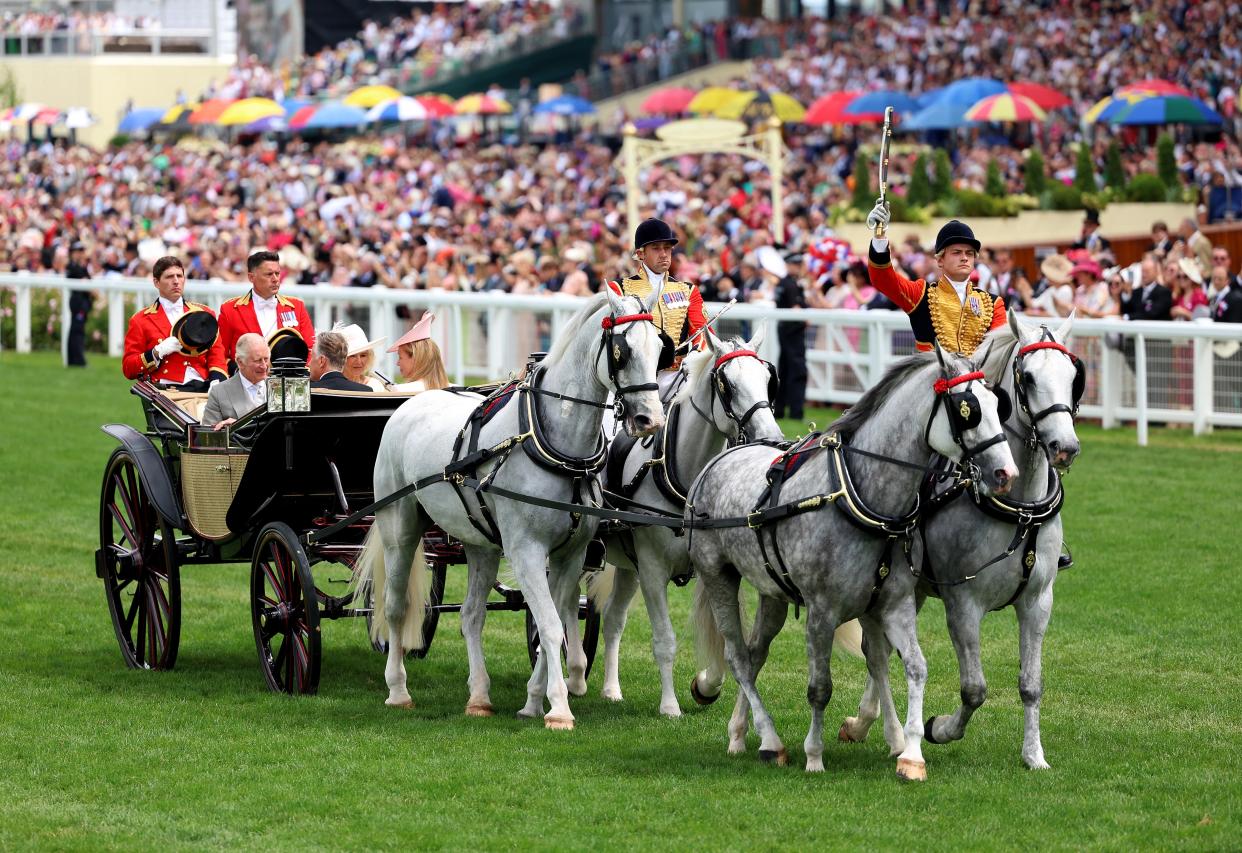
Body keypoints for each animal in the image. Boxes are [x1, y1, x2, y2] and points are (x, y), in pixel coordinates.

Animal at [357, 290, 665, 730]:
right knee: (396, 607)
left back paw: (479, 697)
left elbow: (553, 620)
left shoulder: (571, 554)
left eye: (660, 348)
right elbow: (551, 625)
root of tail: (411, 400)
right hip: (400, 526)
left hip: (480, 542)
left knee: (471, 616)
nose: (649, 419)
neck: (556, 446)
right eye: (621, 351)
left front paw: (535, 700)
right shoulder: (525, 550)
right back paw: (398, 690)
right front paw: (558, 708)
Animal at [690, 347, 1018, 779]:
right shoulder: (822, 611)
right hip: (718, 576)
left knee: (756, 652)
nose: (1006, 473)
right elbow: (820, 688)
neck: (858, 494)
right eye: (968, 410)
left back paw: (742, 734)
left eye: (999, 404)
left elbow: (915, 667)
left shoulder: (895, 604)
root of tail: (723, 457)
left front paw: (912, 753)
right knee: (739, 659)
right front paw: (814, 755)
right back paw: (772, 738)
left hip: (772, 591)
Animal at [839, 310, 1083, 769]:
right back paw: (871, 726)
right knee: (876, 653)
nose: (1065, 446)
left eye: (1073, 375)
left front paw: (1034, 755)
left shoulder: (1037, 602)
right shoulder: (963, 604)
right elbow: (975, 688)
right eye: (1028, 377)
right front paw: (939, 729)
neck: (1020, 508)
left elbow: (1031, 684)